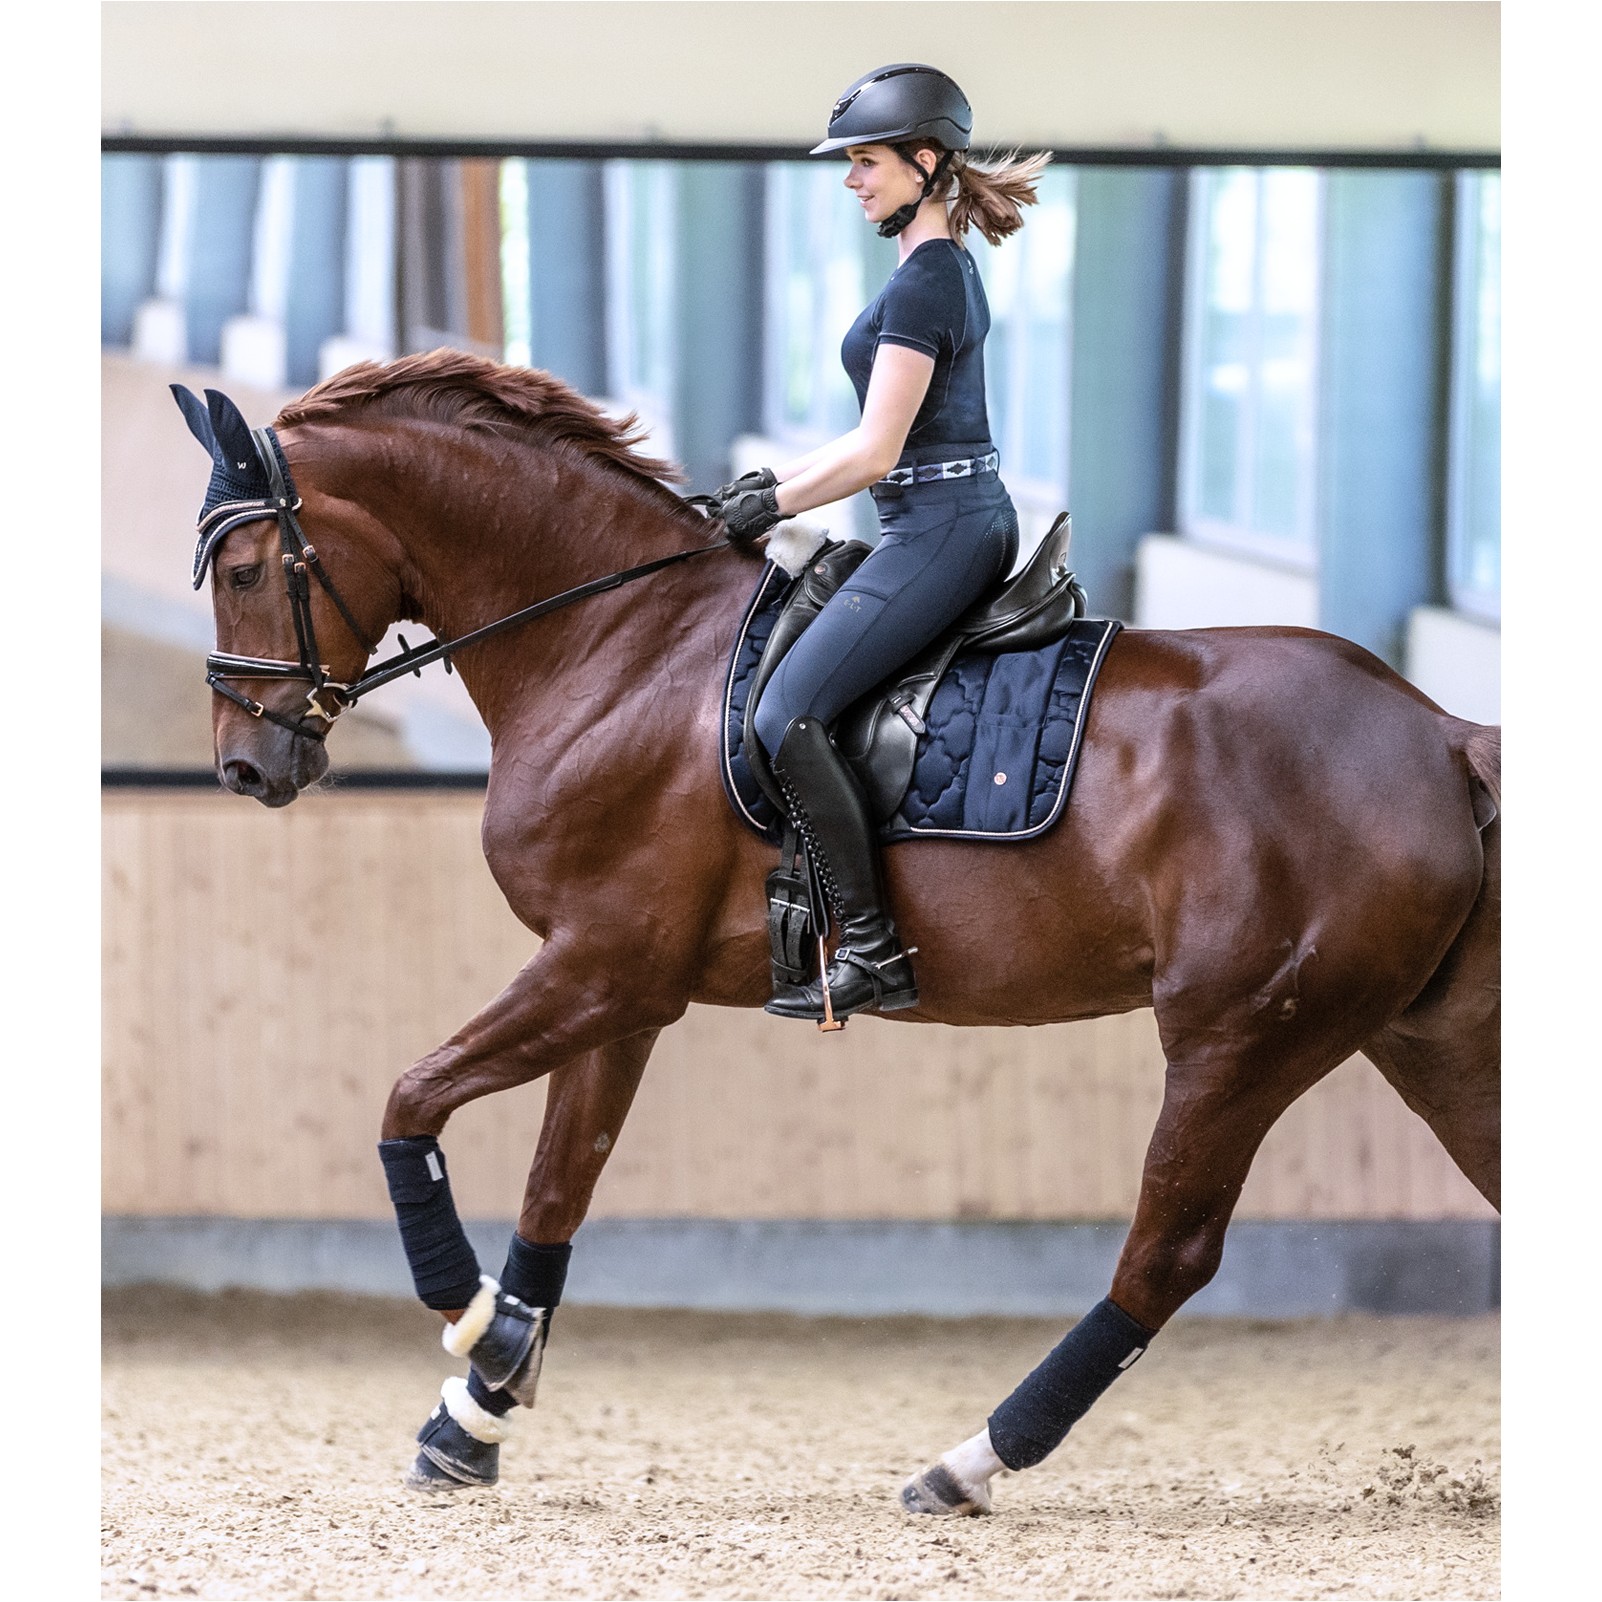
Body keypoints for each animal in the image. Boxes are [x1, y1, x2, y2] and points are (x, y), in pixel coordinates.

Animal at [178, 350, 1499, 1512]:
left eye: (243, 568)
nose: (246, 766)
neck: (619, 647)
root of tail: (1435, 731)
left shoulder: (598, 967)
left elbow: (411, 1103)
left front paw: (470, 1321)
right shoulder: (619, 992)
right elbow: (559, 1190)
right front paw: (479, 1410)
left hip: (1240, 1042)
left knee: (1165, 1254)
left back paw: (967, 1464)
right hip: (1424, 1042)